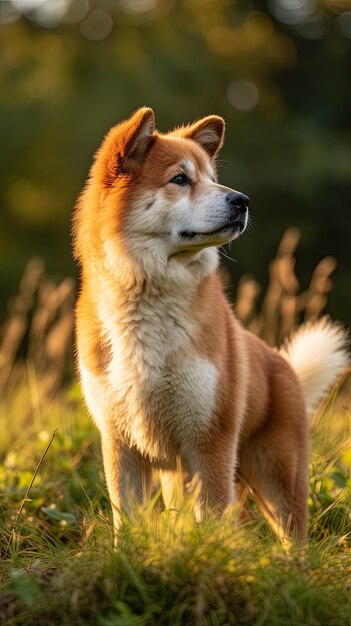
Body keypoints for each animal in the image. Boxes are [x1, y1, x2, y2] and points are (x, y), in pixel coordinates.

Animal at [72, 106, 350, 536]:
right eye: (181, 179)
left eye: (212, 179)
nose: (242, 200)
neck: (147, 303)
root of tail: (282, 365)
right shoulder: (121, 444)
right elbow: (127, 522)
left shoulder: (211, 442)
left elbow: (213, 521)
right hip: (182, 476)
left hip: (278, 479)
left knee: (293, 537)